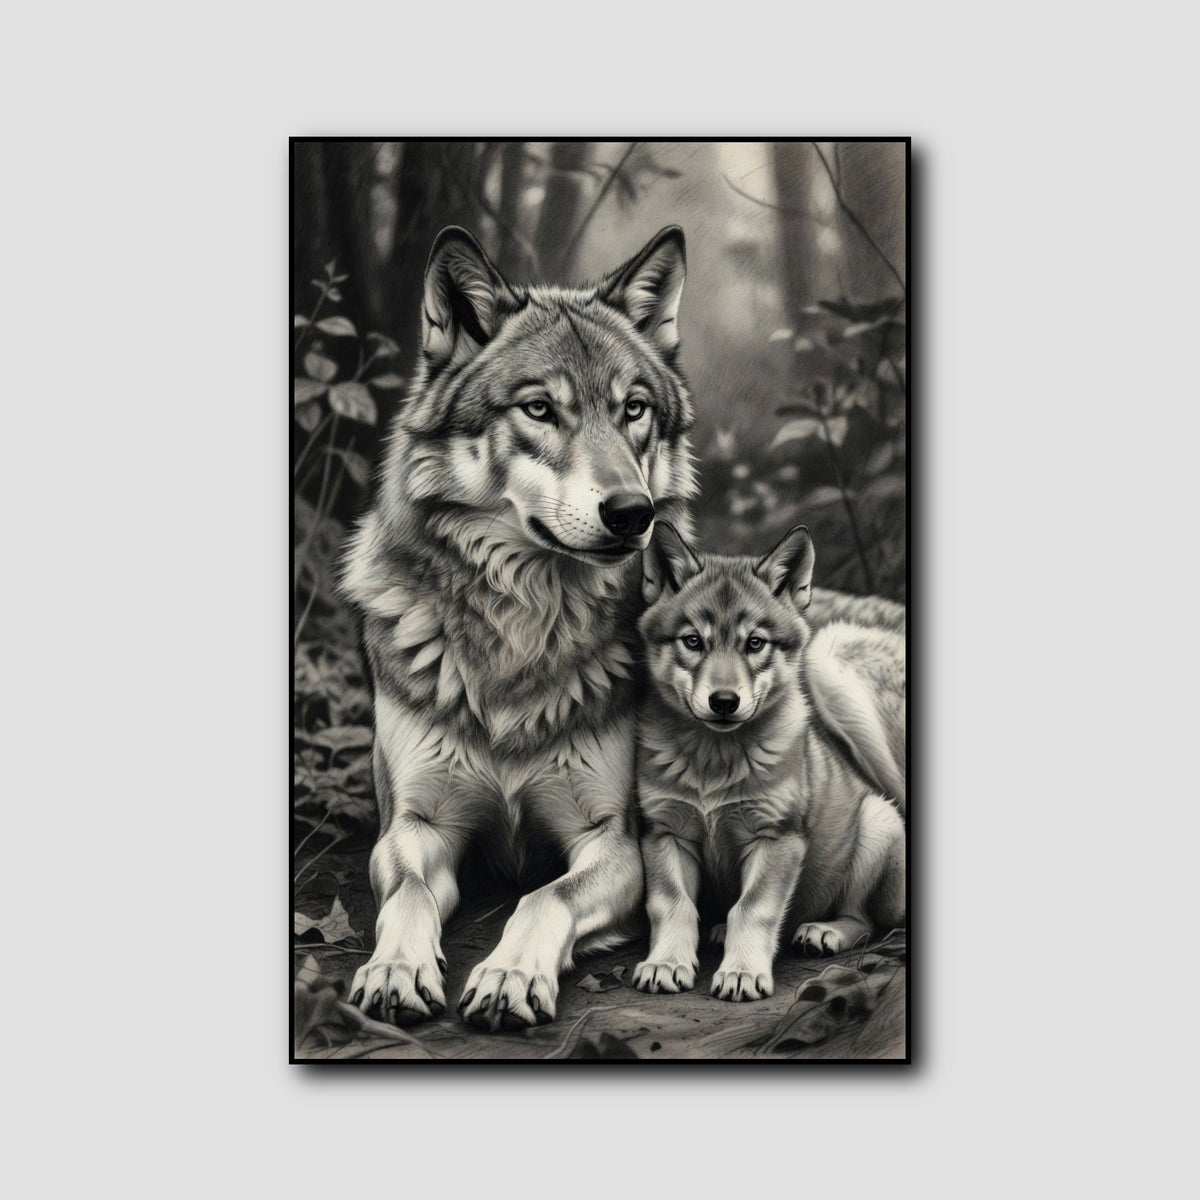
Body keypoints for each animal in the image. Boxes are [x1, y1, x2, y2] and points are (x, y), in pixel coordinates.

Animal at [339, 225, 697, 1030]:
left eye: (633, 410)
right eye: (539, 409)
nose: (632, 513)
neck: (523, 623)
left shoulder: (612, 839)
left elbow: (543, 897)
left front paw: (508, 976)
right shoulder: (414, 827)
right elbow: (410, 895)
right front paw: (396, 969)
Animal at [631, 523, 905, 1002]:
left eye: (755, 643)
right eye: (693, 641)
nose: (724, 701)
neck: (714, 763)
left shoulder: (777, 838)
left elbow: (753, 908)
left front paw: (741, 972)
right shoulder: (666, 832)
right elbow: (671, 904)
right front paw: (666, 963)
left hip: (877, 821)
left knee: (865, 920)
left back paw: (823, 932)